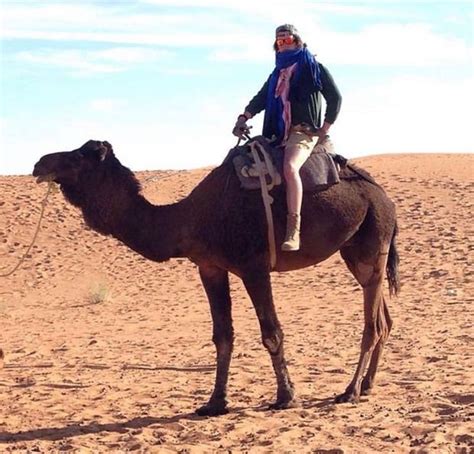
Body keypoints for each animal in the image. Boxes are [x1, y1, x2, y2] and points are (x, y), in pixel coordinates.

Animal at [32, 139, 400, 414]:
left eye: (80, 157)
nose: (39, 163)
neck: (192, 218)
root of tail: (385, 196)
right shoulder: (209, 266)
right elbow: (222, 335)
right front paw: (214, 403)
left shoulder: (253, 267)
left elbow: (272, 333)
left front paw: (286, 397)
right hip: (353, 250)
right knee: (384, 318)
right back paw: (368, 385)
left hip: (374, 239)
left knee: (372, 323)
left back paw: (350, 391)